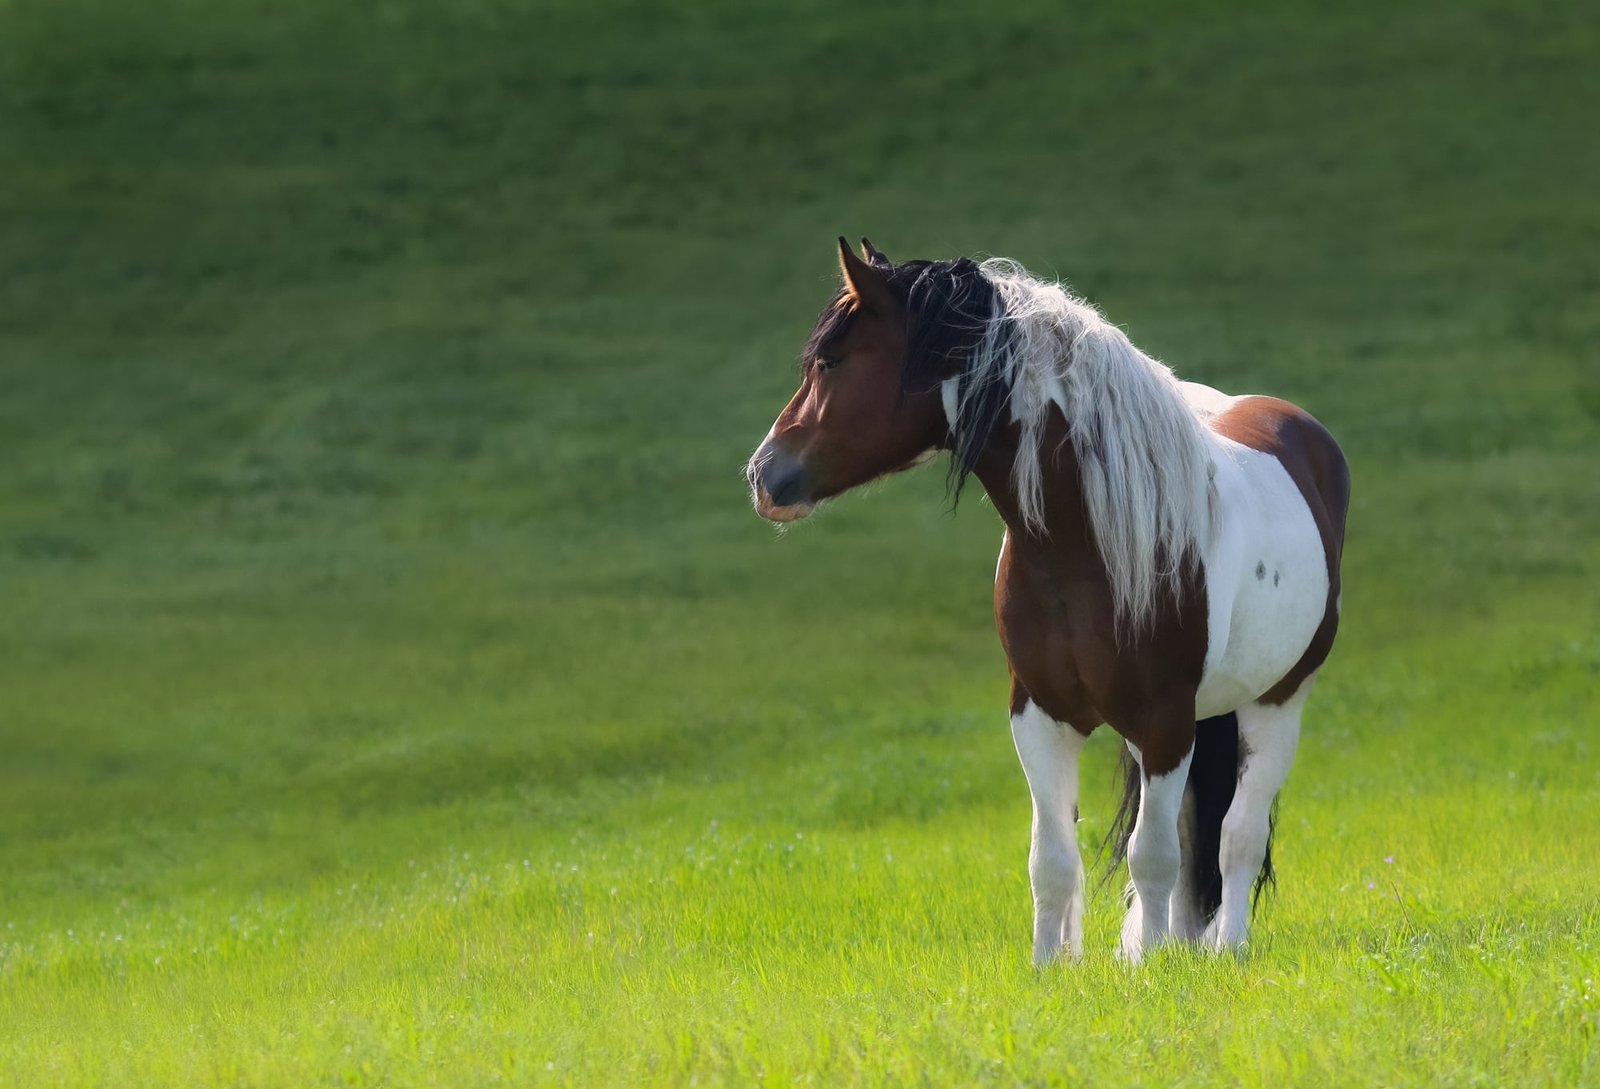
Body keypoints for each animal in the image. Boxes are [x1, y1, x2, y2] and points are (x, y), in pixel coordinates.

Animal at [746, 239, 1349, 964]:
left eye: (831, 362)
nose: (762, 473)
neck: (1080, 542)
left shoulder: (1164, 721)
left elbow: (1153, 855)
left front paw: (1146, 969)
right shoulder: (1040, 715)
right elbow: (1053, 860)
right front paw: (1053, 967)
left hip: (1275, 704)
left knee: (1237, 835)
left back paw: (1224, 948)